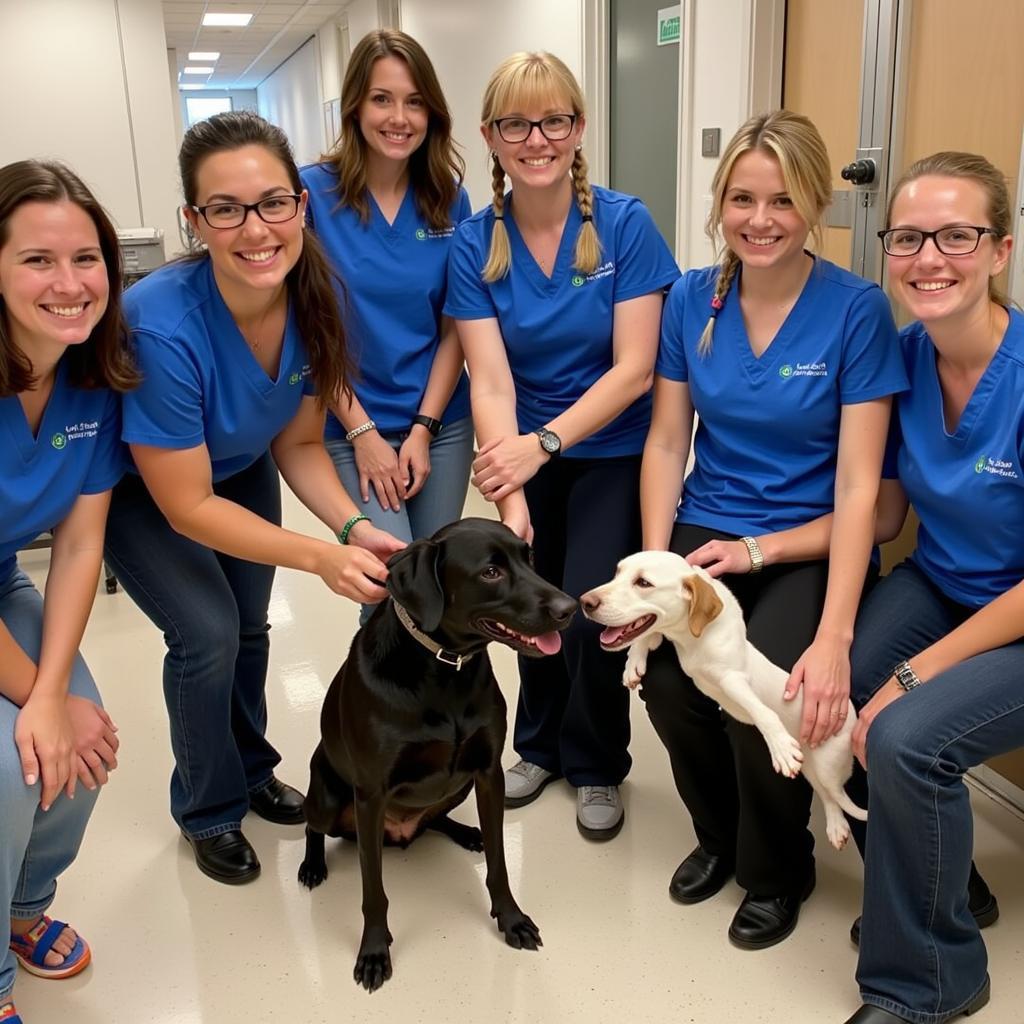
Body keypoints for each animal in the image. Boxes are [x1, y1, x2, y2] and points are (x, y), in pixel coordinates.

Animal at [299, 520, 581, 991]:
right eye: (490, 572)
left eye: (529, 556)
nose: (571, 607)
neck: (446, 669)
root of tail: (399, 834)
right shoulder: (371, 795)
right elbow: (373, 890)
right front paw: (373, 951)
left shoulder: (487, 773)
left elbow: (500, 863)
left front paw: (511, 919)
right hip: (328, 799)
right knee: (312, 826)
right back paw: (312, 865)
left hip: (459, 784)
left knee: (435, 819)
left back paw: (467, 833)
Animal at [585, 552, 864, 847]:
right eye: (617, 572)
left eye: (643, 582)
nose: (585, 602)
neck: (691, 638)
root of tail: (851, 712)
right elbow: (648, 634)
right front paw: (633, 663)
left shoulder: (733, 677)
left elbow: (762, 711)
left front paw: (779, 747)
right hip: (811, 767)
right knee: (827, 796)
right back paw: (836, 826)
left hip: (827, 765)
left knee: (835, 793)